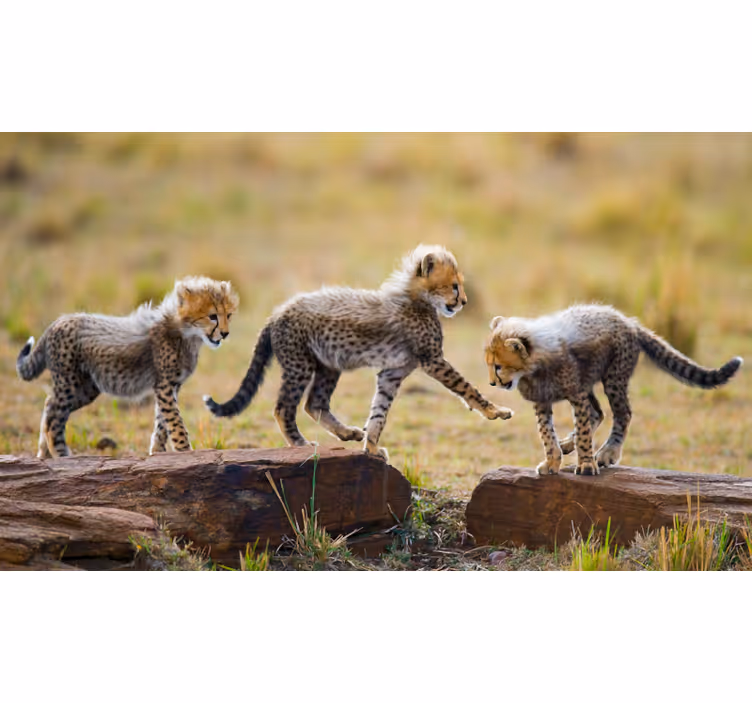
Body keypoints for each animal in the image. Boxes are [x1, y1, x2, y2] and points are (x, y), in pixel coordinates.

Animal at [16, 275, 238, 458]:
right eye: (212, 316)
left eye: (228, 315)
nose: (225, 333)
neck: (187, 334)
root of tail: (58, 321)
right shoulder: (165, 385)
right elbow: (174, 421)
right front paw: (185, 451)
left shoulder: (171, 386)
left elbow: (162, 422)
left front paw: (157, 452)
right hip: (71, 383)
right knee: (54, 415)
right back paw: (61, 454)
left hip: (86, 389)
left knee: (49, 405)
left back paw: (44, 454)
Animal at [205, 244, 513, 460]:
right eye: (454, 285)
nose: (464, 301)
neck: (418, 299)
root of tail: (277, 313)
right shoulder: (433, 360)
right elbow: (467, 387)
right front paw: (494, 411)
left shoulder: (392, 372)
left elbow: (379, 411)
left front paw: (372, 447)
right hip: (300, 364)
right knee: (284, 408)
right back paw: (301, 444)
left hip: (329, 364)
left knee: (314, 403)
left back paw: (347, 433)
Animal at [484, 303, 743, 476]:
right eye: (489, 364)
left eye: (499, 366)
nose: (492, 383)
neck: (534, 366)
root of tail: (629, 321)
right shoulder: (543, 401)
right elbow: (547, 433)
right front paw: (552, 461)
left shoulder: (575, 394)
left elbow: (584, 431)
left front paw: (586, 464)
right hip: (591, 381)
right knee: (598, 413)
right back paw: (570, 444)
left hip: (614, 379)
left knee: (621, 413)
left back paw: (607, 452)